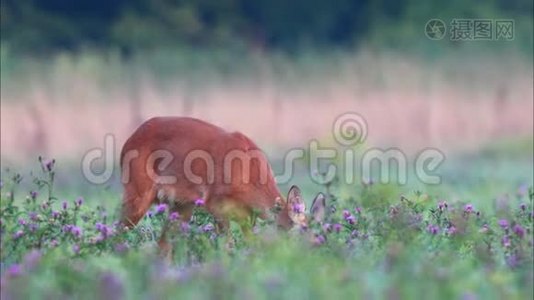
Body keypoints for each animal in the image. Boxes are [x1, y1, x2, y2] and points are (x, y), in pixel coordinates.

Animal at [120, 116, 326, 254]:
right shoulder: (216, 204)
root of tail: (127, 141)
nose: (319, 250)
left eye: (317, 234)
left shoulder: (247, 217)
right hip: (137, 193)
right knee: (118, 231)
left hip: (181, 205)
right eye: (302, 232)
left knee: (163, 244)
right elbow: (227, 246)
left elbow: (251, 244)